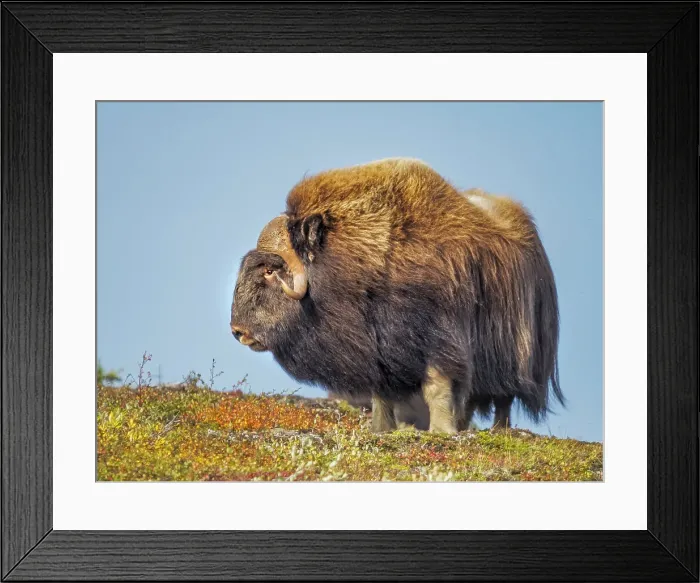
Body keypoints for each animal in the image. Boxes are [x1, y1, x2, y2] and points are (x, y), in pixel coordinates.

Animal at [230, 158, 564, 434]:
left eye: (270, 270)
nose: (237, 332)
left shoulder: (439, 337)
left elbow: (436, 385)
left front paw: (440, 431)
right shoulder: (378, 350)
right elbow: (381, 393)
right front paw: (381, 429)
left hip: (515, 351)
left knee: (504, 394)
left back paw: (497, 430)